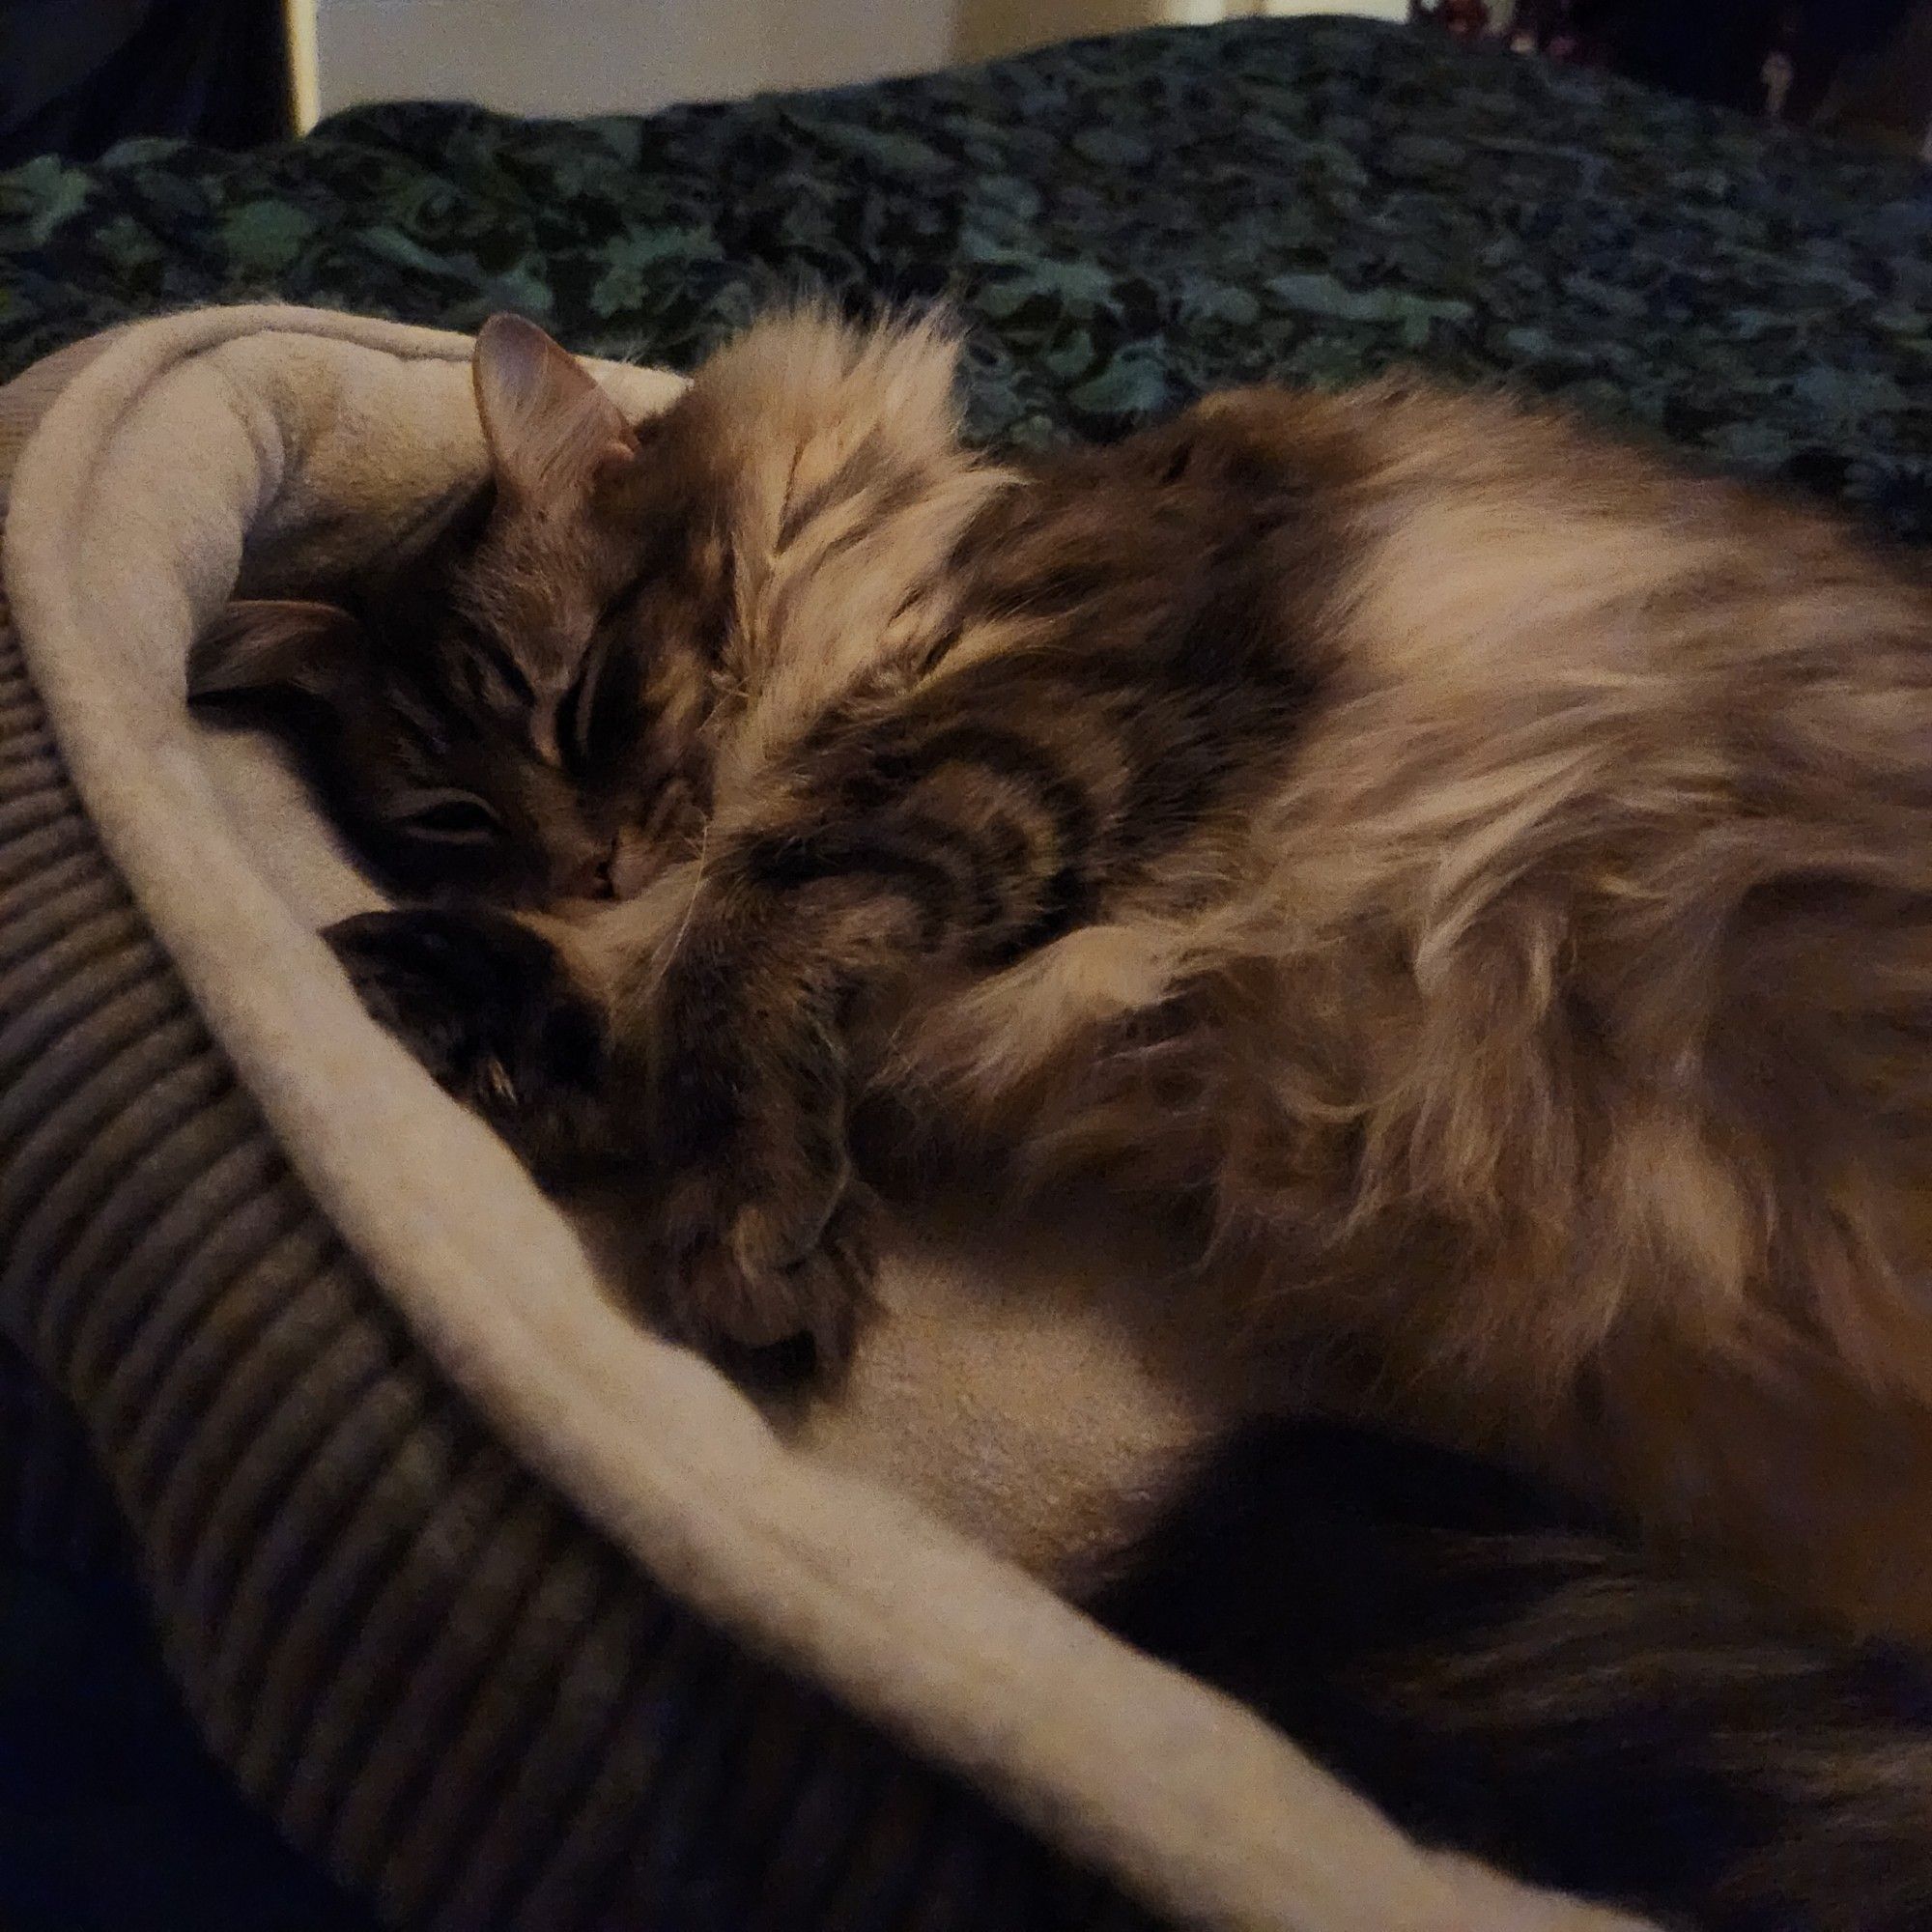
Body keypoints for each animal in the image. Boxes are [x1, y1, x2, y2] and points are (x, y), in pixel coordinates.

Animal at [188, 305, 1932, 1662]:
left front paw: (755, 1236)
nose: (587, 865)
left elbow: (754, 931)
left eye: (586, 703)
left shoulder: (1047, 699)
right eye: (454, 818)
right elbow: (631, 1007)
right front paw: (406, 988)